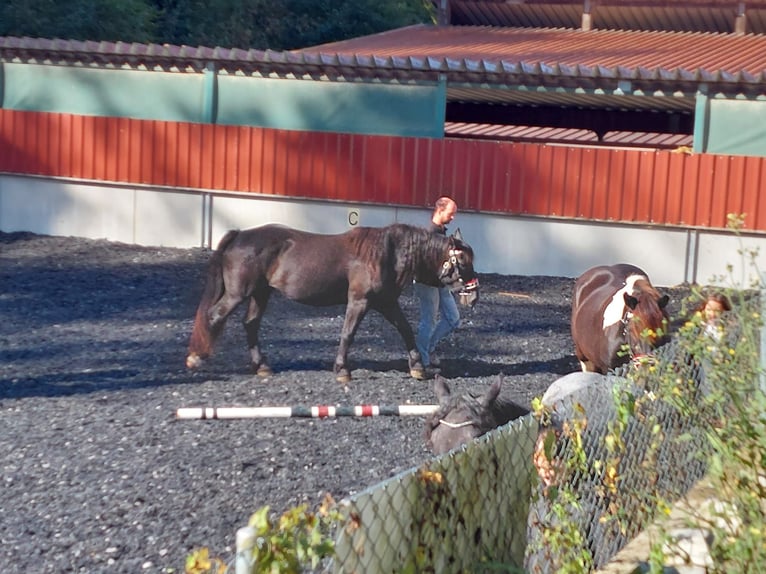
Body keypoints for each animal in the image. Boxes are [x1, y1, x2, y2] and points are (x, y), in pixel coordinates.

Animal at [186, 224, 480, 382]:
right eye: (463, 261)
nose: (474, 294)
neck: (387, 253)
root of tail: (240, 235)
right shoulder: (359, 301)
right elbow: (348, 334)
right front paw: (342, 370)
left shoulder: (386, 303)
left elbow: (406, 330)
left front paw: (417, 367)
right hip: (239, 293)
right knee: (215, 316)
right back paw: (196, 358)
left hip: (261, 293)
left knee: (250, 324)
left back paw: (262, 366)